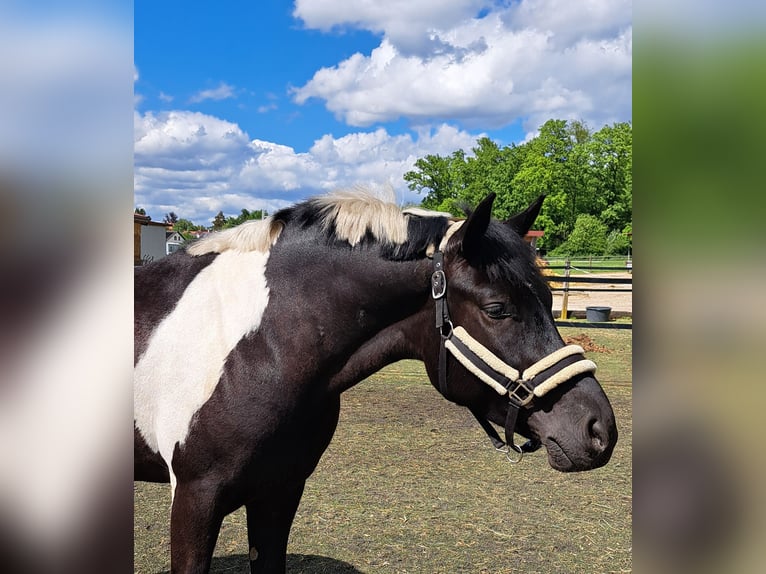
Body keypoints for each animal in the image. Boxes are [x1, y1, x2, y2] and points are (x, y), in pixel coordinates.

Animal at [134, 190, 617, 573]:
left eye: (550, 299)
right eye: (497, 309)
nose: (599, 430)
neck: (263, 346)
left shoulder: (280, 490)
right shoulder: (196, 499)